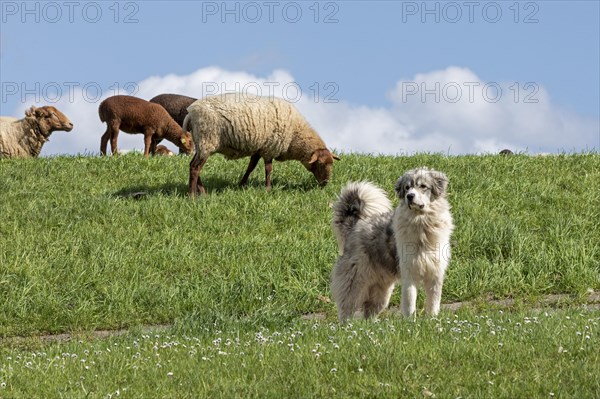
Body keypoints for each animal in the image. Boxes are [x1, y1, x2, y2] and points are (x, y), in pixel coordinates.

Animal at [185, 92, 340, 195]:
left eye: (332, 164)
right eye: (320, 164)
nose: (325, 183)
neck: (295, 135)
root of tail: (190, 113)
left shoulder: (259, 149)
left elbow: (251, 167)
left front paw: (241, 184)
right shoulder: (269, 149)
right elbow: (268, 170)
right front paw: (268, 189)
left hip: (202, 143)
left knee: (193, 165)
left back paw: (202, 192)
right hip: (207, 140)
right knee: (195, 168)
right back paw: (192, 195)